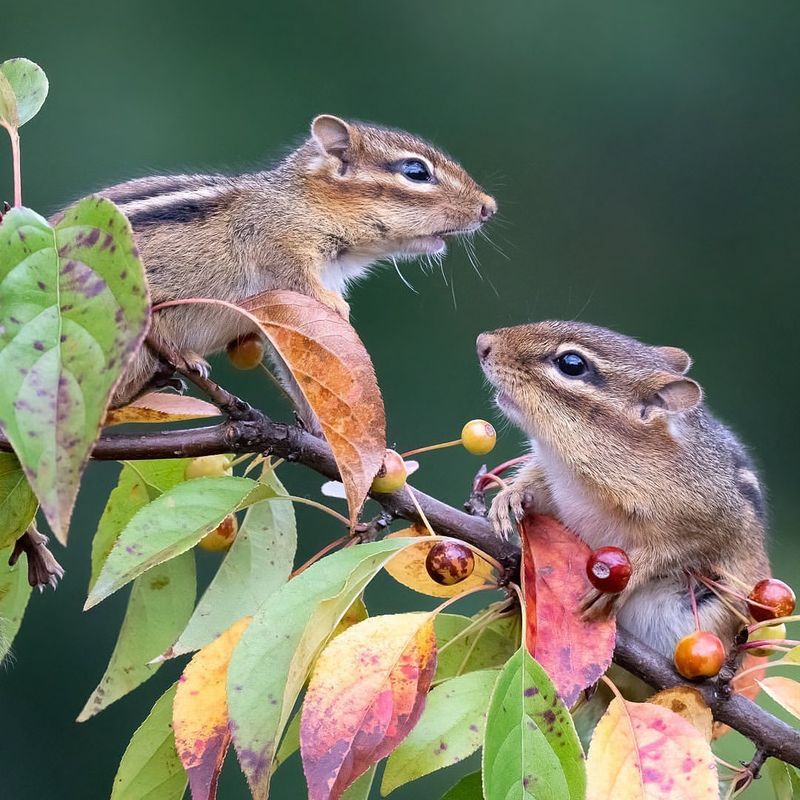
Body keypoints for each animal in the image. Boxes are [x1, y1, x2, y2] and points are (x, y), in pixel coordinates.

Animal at [78, 114, 496, 407]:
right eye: (416, 171)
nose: (488, 207)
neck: (305, 203)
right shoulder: (277, 245)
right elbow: (296, 277)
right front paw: (336, 306)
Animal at [477, 320, 770, 658]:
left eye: (571, 364)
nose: (483, 343)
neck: (571, 469)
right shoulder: (553, 480)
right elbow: (535, 483)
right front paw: (509, 495)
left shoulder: (715, 518)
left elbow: (674, 550)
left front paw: (633, 574)